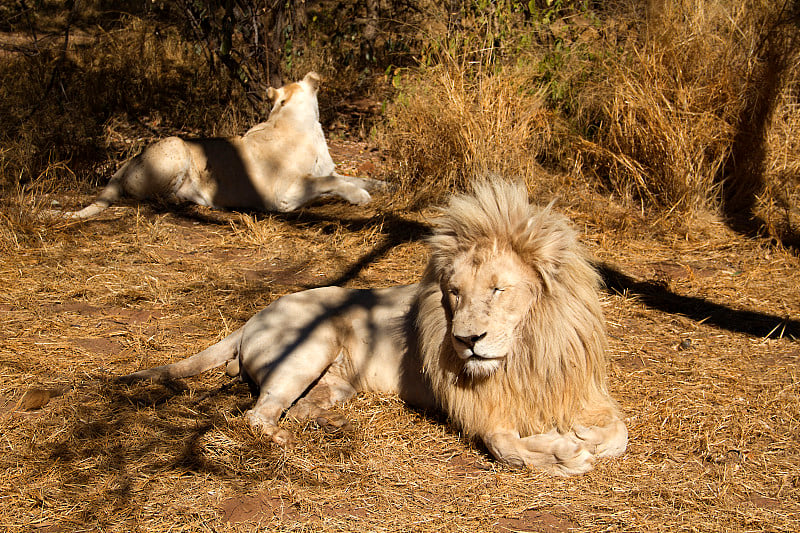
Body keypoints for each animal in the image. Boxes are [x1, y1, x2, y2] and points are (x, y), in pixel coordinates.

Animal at [60, 72, 384, 218]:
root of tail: (128, 161)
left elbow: (355, 177)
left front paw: (383, 185)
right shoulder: (284, 195)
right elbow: (331, 181)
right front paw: (359, 197)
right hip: (175, 146)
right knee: (147, 198)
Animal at [123, 178, 624, 474]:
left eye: (498, 290)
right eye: (454, 292)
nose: (466, 341)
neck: (527, 350)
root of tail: (253, 316)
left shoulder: (582, 390)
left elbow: (619, 434)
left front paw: (587, 437)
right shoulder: (475, 409)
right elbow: (508, 447)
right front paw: (566, 451)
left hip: (337, 382)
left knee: (297, 408)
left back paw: (330, 424)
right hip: (311, 346)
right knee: (258, 415)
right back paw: (286, 439)